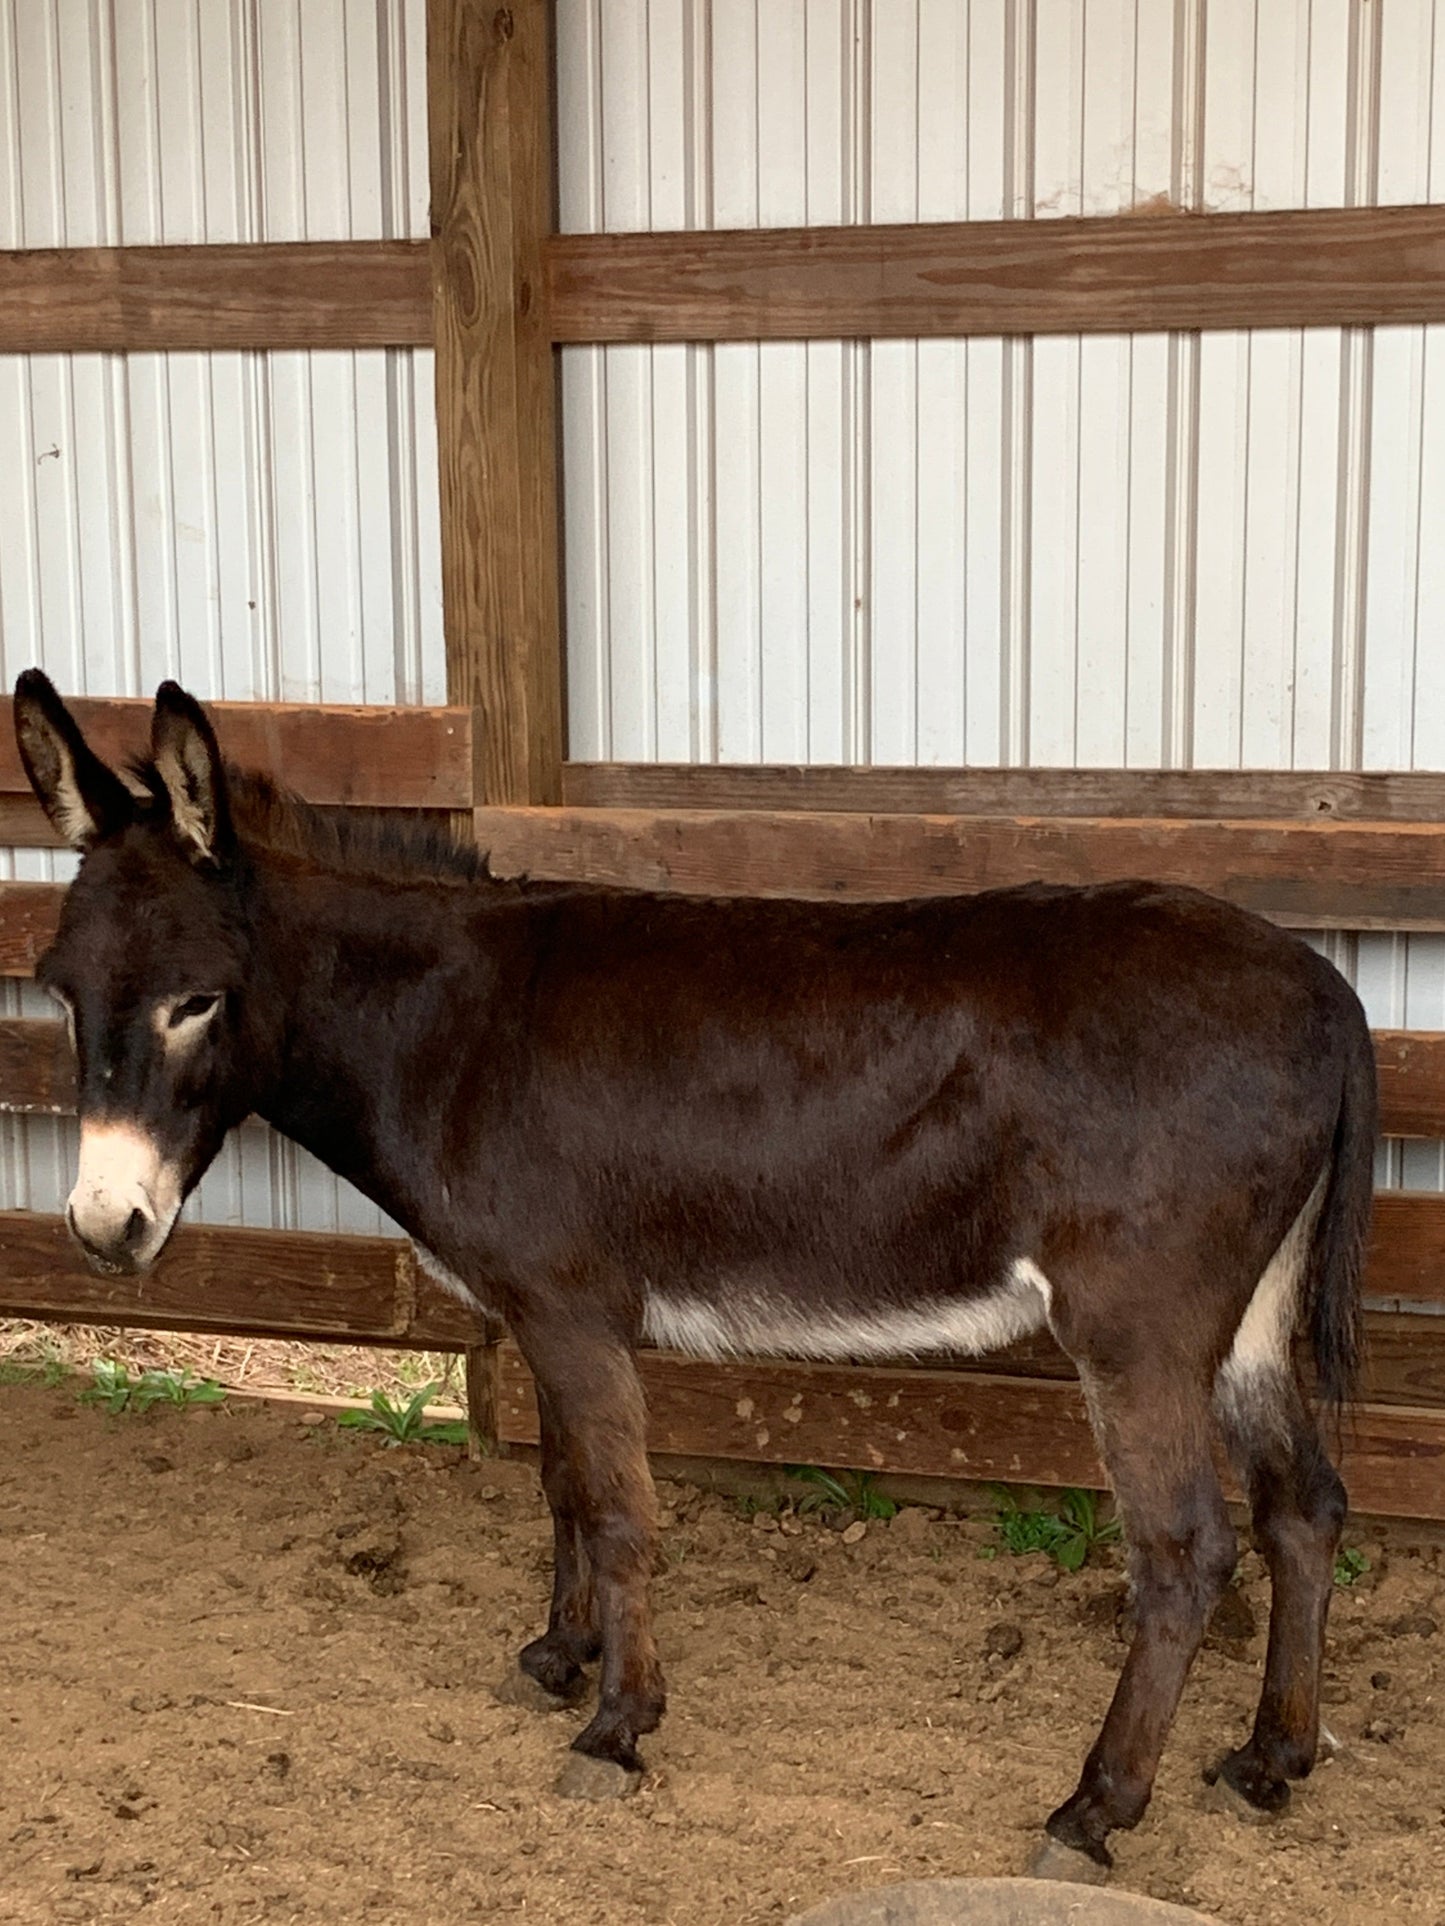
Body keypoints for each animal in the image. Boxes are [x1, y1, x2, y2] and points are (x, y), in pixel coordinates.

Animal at [13, 669, 1373, 1878]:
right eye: (59, 995)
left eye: (197, 1002)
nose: (102, 1229)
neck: (446, 1030)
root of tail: (1326, 986)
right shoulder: (537, 1311)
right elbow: (562, 1486)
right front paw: (557, 1657)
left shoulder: (571, 1310)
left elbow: (619, 1514)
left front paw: (616, 1730)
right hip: (1246, 1317)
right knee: (1302, 1508)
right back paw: (1269, 1763)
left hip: (1136, 1325)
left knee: (1184, 1550)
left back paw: (1093, 1811)